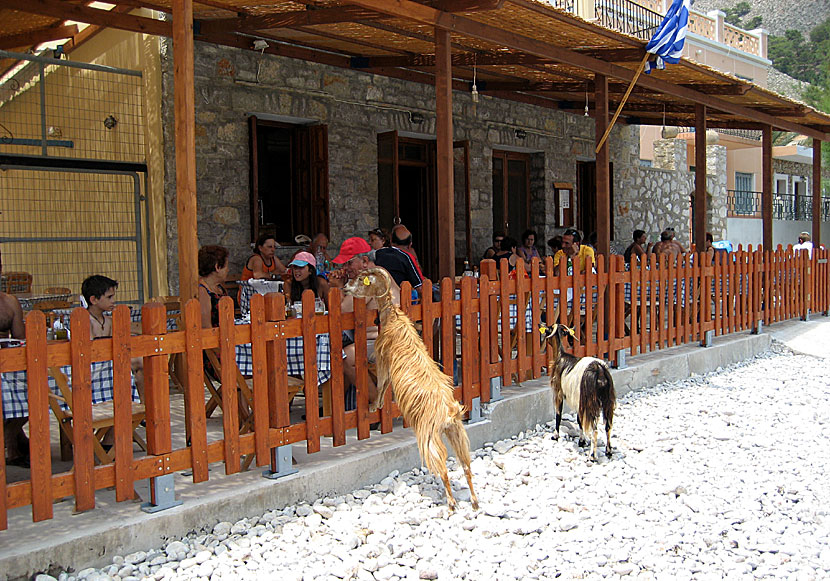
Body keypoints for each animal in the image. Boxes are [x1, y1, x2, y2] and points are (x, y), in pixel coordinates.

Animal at [346, 266, 480, 510]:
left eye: (361, 279)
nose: (345, 287)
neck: (393, 317)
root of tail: (449, 412)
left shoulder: (382, 358)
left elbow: (382, 383)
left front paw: (374, 406)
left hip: (428, 434)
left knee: (442, 466)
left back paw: (451, 504)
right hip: (457, 432)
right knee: (466, 465)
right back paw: (474, 502)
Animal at [540, 324, 616, 460]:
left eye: (548, 329)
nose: (541, 325)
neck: (560, 356)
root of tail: (600, 372)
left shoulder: (559, 393)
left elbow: (558, 414)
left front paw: (555, 436)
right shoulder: (578, 400)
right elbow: (579, 420)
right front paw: (581, 441)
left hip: (591, 402)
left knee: (595, 429)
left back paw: (592, 456)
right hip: (607, 400)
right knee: (608, 426)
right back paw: (608, 451)